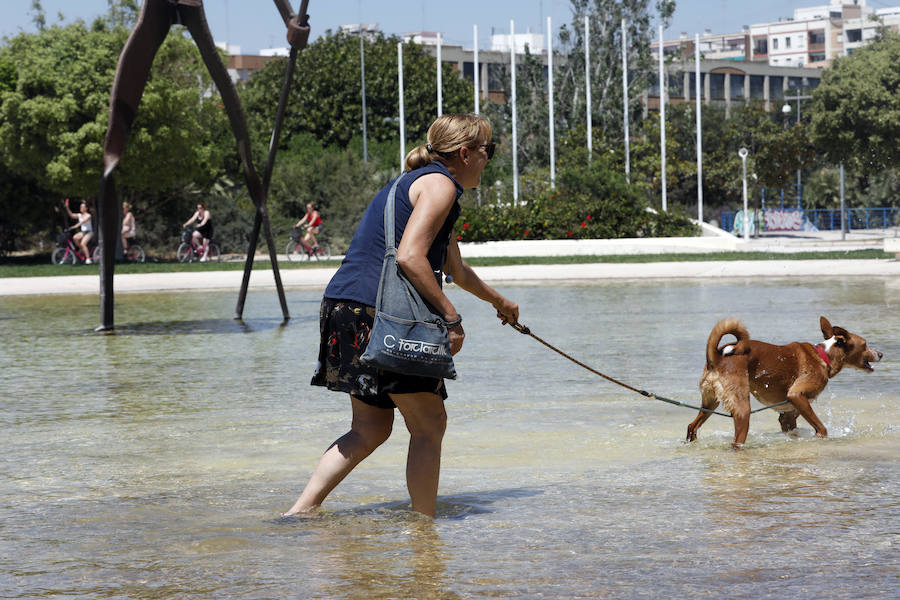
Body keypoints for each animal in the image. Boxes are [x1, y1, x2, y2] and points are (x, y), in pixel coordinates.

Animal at [684, 316, 884, 448]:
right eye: (865, 345)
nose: (881, 354)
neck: (824, 356)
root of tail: (716, 356)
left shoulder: (788, 415)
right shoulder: (796, 395)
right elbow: (822, 429)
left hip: (710, 403)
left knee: (692, 426)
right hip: (742, 410)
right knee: (736, 441)